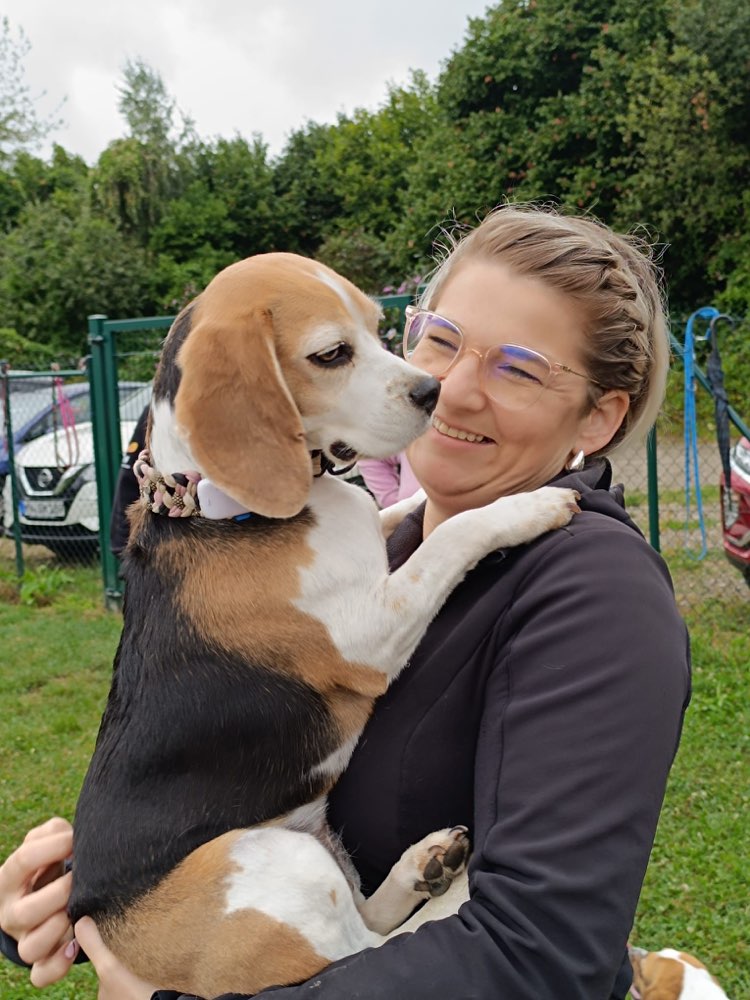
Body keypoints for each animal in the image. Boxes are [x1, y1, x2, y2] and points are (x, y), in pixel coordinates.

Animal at [67, 252, 580, 1000]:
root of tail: (99, 913)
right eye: (332, 354)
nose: (433, 391)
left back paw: (425, 865)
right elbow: (452, 534)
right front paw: (527, 504)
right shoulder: (370, 631)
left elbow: (406, 513)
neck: (214, 506)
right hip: (277, 864)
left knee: (368, 926)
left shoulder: (371, 544)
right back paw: (449, 888)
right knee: (366, 952)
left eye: (378, 326)